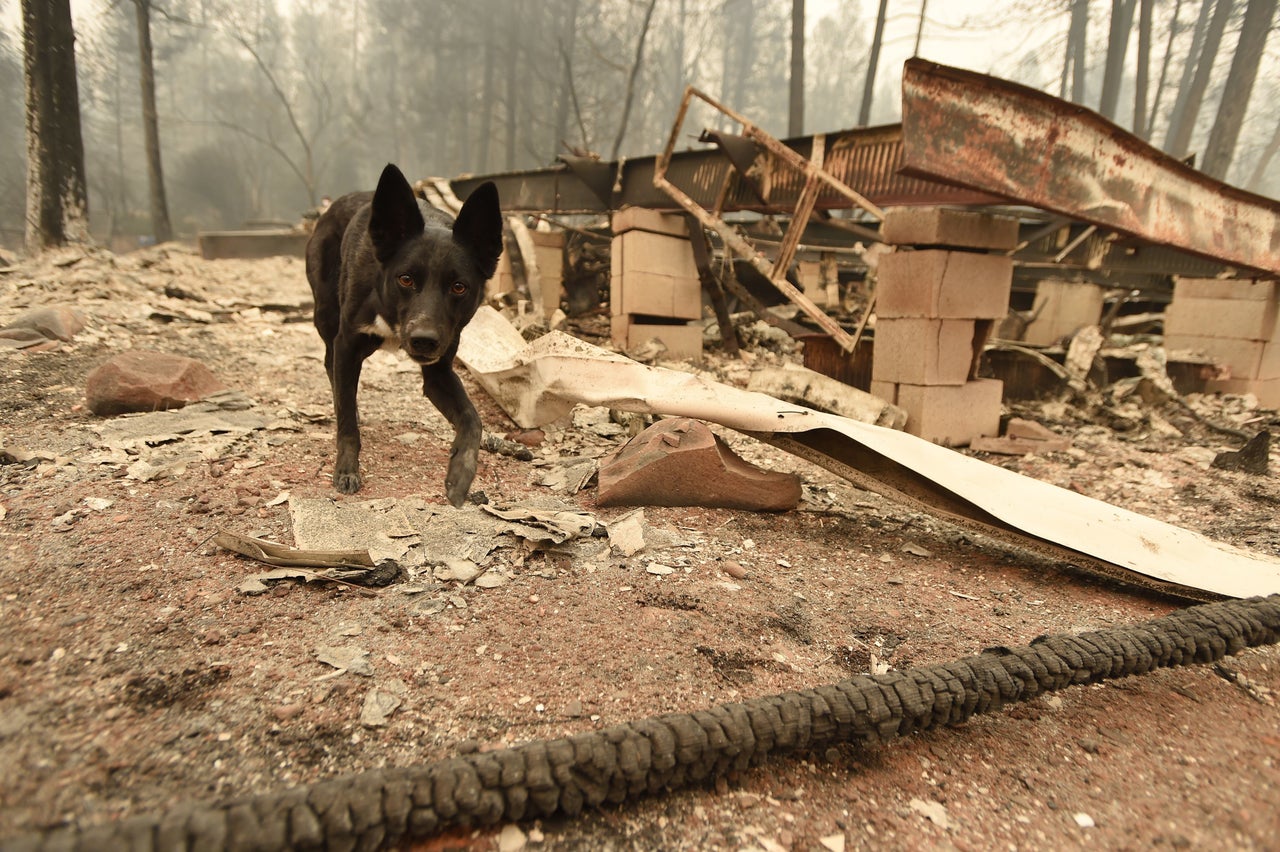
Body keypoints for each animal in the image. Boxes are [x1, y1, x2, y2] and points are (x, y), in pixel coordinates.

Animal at [307, 162, 501, 501]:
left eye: (459, 287)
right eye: (406, 279)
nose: (423, 340)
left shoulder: (438, 372)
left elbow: (472, 418)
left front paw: (461, 472)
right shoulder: (347, 345)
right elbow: (346, 425)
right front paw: (346, 468)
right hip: (326, 316)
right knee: (331, 367)